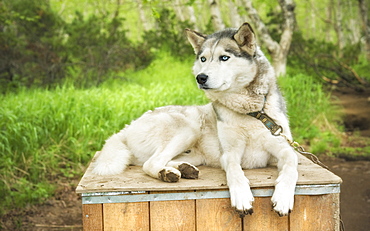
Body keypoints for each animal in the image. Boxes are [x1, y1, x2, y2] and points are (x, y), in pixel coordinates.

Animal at [92, 23, 298, 217]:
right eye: (203, 59)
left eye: (224, 58)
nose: (201, 77)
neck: (251, 112)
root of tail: (127, 128)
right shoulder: (230, 153)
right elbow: (235, 171)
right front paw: (242, 196)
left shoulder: (283, 148)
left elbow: (291, 164)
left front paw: (283, 198)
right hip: (188, 128)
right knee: (149, 163)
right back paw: (167, 173)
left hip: (195, 152)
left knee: (159, 159)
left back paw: (182, 169)